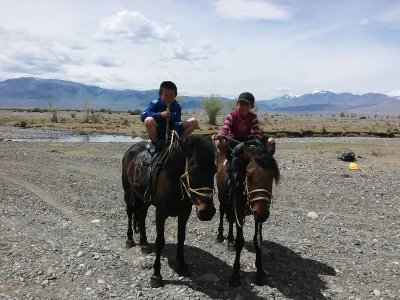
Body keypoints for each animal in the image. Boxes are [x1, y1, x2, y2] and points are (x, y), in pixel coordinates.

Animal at [121, 134, 217, 288]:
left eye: (214, 170)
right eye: (192, 169)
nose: (207, 212)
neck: (173, 181)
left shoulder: (184, 213)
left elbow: (181, 238)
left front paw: (182, 266)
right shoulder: (160, 213)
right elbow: (160, 241)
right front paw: (156, 275)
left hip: (145, 199)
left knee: (141, 216)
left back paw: (144, 244)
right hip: (129, 193)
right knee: (130, 213)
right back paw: (130, 240)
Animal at [217, 137, 280, 288]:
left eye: (272, 175)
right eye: (248, 174)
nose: (263, 213)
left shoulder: (257, 214)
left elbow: (258, 240)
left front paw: (260, 272)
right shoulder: (239, 210)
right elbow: (240, 241)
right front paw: (235, 274)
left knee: (231, 220)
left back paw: (230, 241)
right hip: (222, 196)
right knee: (222, 213)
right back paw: (220, 236)